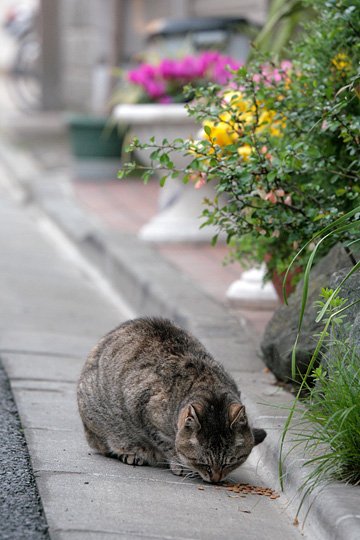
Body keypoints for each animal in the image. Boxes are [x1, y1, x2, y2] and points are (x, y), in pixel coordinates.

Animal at [77, 314, 266, 484]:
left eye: (230, 462)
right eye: (203, 463)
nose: (215, 479)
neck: (209, 385)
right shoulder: (144, 413)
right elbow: (167, 444)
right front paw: (179, 463)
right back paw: (131, 453)